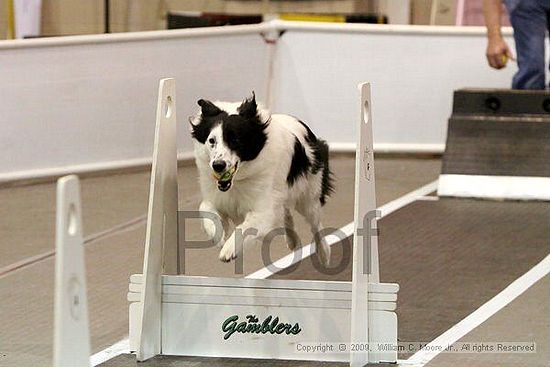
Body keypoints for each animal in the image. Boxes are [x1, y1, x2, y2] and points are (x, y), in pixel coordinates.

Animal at [190, 94, 336, 268]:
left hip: (309, 197)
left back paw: (324, 253)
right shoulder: (219, 197)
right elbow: (205, 208)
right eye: (212, 140)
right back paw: (292, 240)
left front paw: (229, 249)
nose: (218, 165)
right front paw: (218, 236)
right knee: (286, 211)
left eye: (236, 140)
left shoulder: (263, 208)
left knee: (316, 225)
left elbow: (245, 226)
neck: (239, 180)